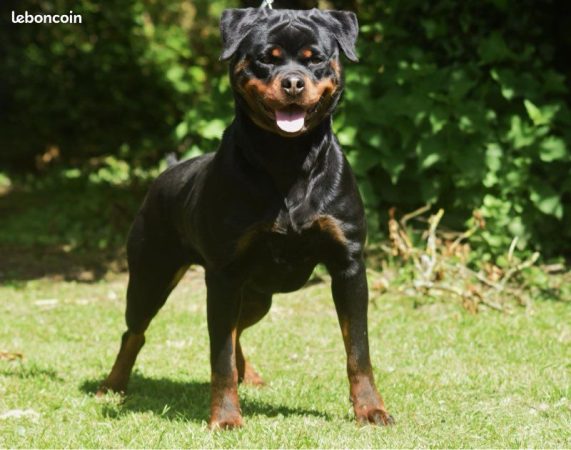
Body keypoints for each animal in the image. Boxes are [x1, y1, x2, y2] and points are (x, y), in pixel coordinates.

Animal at [98, 6, 394, 428]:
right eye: (266, 58)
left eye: (315, 58)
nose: (292, 83)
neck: (287, 159)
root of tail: (168, 172)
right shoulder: (224, 273)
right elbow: (218, 356)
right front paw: (225, 417)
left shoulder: (348, 265)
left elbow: (358, 351)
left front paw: (370, 409)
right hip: (151, 276)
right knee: (135, 332)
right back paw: (113, 384)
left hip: (257, 296)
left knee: (237, 328)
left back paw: (248, 374)